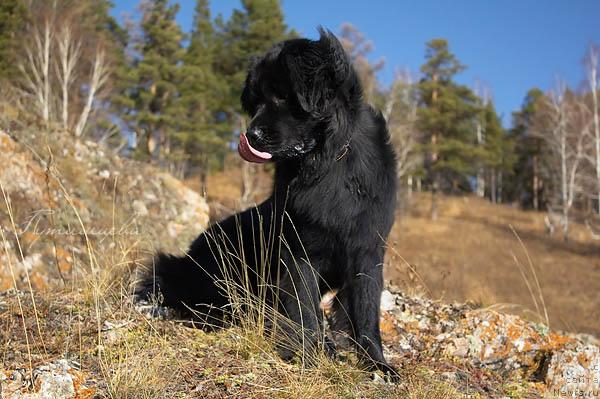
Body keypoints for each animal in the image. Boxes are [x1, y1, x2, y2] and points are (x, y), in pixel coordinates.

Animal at [137, 28, 398, 378]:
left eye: (282, 95)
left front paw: (378, 365)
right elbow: (307, 311)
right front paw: (310, 354)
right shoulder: (300, 252)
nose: (251, 135)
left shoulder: (367, 250)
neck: (327, 164)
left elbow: (366, 312)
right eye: (256, 100)